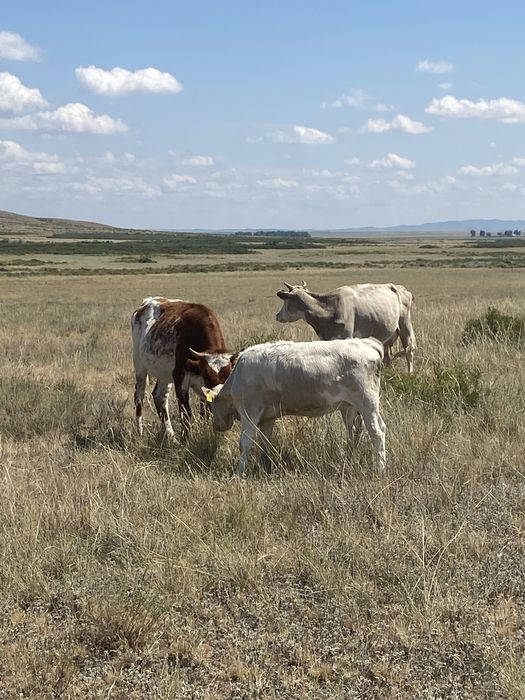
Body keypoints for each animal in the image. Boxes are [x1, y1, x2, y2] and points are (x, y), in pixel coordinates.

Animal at [131, 296, 236, 439]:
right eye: (208, 378)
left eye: (227, 377)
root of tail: (147, 301)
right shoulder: (180, 380)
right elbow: (186, 413)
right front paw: (185, 438)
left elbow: (204, 413)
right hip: (139, 364)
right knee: (139, 397)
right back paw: (140, 431)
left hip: (164, 373)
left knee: (159, 396)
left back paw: (169, 433)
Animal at [202, 337, 387, 475]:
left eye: (211, 406)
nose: (216, 426)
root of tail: (366, 343)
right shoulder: (268, 417)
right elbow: (265, 442)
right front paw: (265, 466)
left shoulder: (250, 412)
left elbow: (245, 443)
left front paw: (239, 472)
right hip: (351, 407)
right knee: (355, 431)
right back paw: (350, 459)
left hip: (367, 402)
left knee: (377, 432)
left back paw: (380, 469)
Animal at [275, 281, 416, 373]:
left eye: (286, 300)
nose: (277, 315)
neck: (329, 308)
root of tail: (402, 288)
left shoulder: (347, 337)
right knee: (388, 357)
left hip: (405, 326)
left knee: (408, 350)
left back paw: (410, 374)